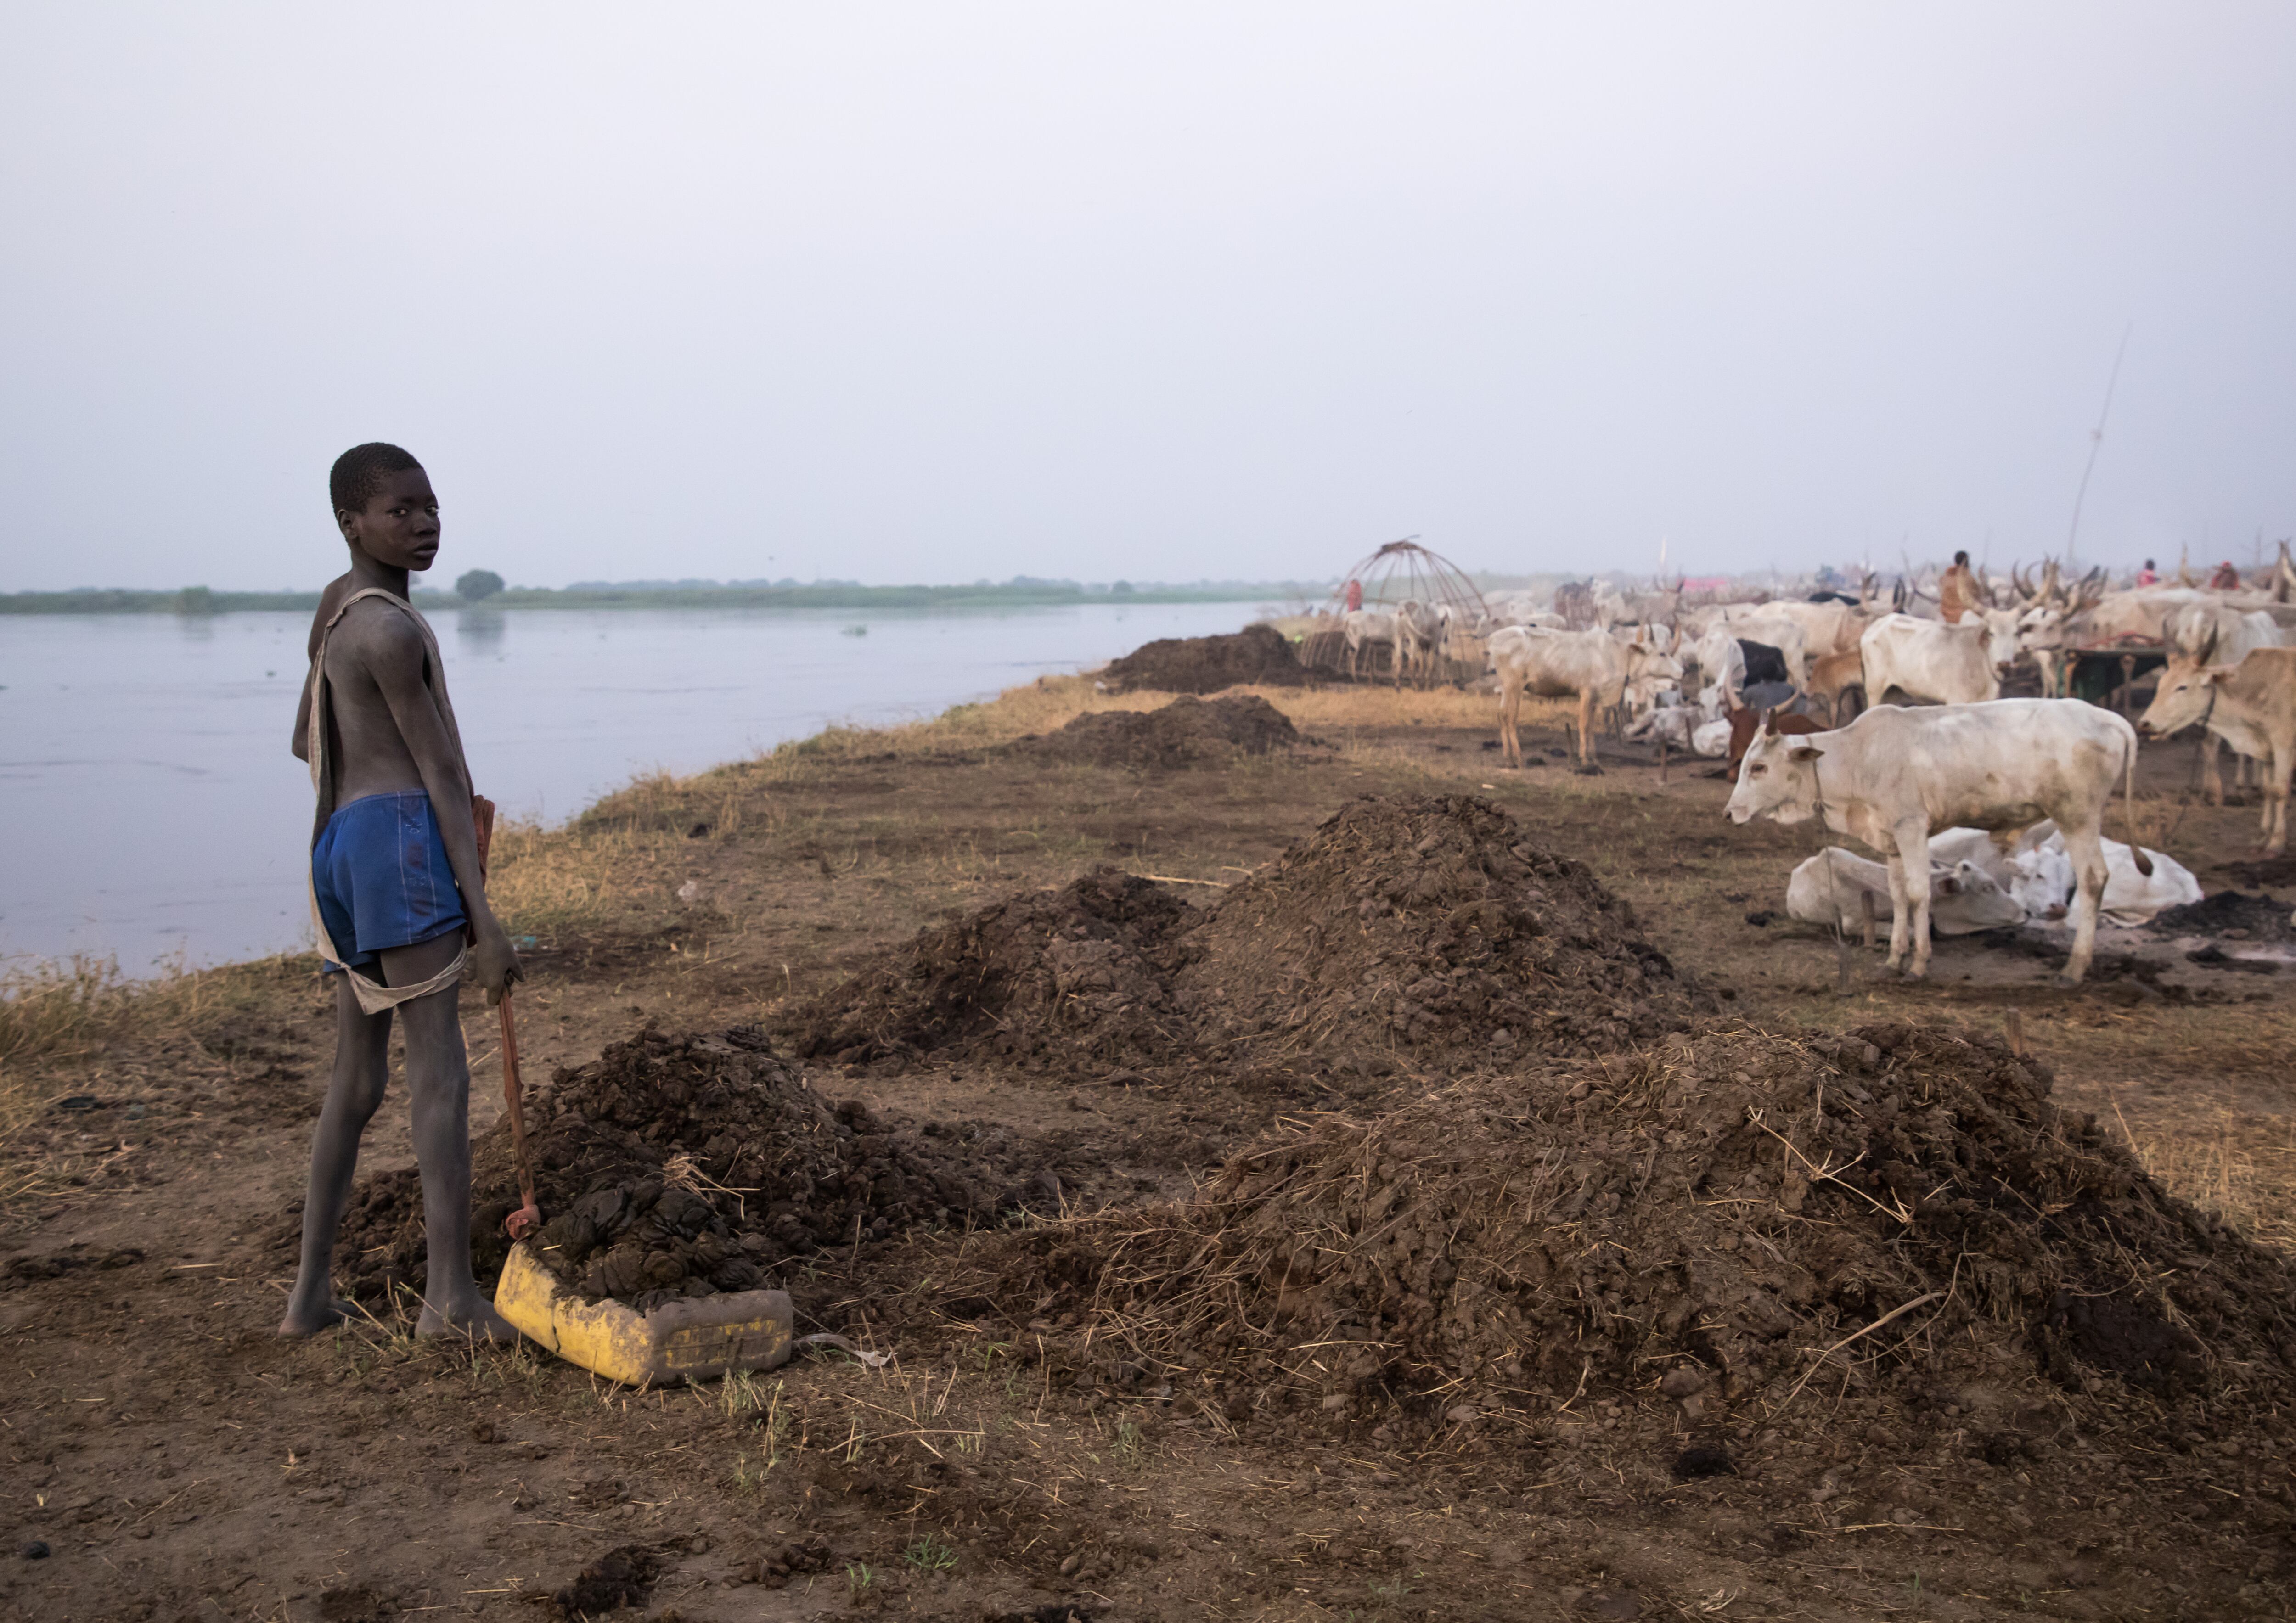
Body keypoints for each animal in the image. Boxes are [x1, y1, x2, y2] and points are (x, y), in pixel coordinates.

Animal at [1727, 702, 2158, 983]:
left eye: (1759, 767)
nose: (1730, 813)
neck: (1858, 757)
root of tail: (2107, 717)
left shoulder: (1912, 826)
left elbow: (1919, 893)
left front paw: (1918, 964)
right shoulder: (1891, 838)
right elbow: (1899, 894)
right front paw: (1894, 959)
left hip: (2078, 817)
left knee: (2093, 878)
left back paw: (2075, 967)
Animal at [1855, 611, 2020, 707]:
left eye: (2016, 633)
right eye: (1992, 633)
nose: (2004, 663)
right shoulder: (1956, 700)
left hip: (1893, 692)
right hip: (1875, 689)